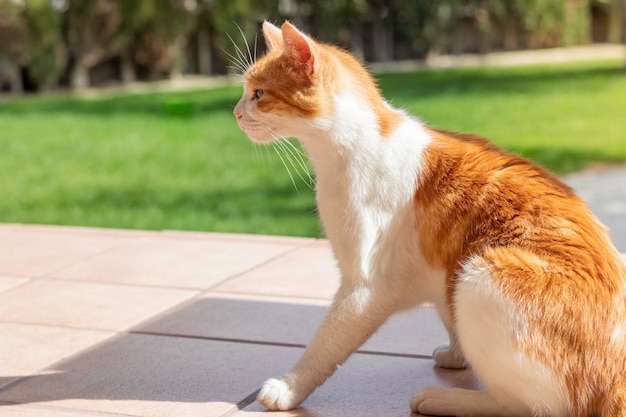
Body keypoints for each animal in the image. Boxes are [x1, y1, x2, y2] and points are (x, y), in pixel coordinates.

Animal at [232, 22, 624, 416]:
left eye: (258, 93)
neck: (356, 146)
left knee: (530, 407)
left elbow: (325, 345)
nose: (235, 113)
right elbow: (450, 321)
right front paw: (456, 354)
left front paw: (288, 387)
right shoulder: (440, 276)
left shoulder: (366, 288)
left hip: (478, 277)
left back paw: (446, 398)